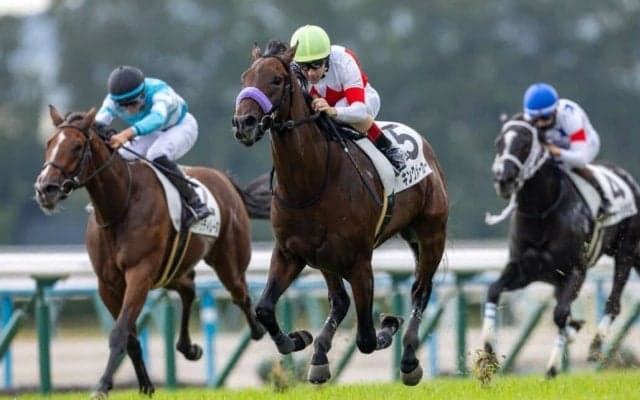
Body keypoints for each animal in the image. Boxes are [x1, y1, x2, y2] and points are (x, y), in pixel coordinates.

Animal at [34, 106, 269, 398]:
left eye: (77, 146)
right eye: (49, 143)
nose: (45, 189)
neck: (119, 204)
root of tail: (224, 180)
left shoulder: (140, 274)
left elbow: (120, 332)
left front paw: (102, 386)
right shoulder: (107, 285)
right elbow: (131, 337)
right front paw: (146, 385)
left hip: (228, 260)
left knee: (241, 294)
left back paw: (260, 330)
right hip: (172, 270)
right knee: (189, 289)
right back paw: (188, 347)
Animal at [231, 42, 448, 385]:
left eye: (277, 80)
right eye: (245, 78)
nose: (244, 124)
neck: (311, 181)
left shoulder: (360, 260)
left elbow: (367, 338)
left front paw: (389, 323)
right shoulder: (290, 252)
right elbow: (264, 308)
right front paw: (296, 340)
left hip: (430, 235)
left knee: (420, 290)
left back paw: (409, 359)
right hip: (326, 257)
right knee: (340, 300)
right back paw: (319, 355)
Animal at [477, 114, 640, 379]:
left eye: (524, 144)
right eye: (499, 142)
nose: (503, 179)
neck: (541, 210)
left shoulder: (575, 271)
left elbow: (560, 314)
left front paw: (552, 368)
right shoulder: (524, 269)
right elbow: (493, 290)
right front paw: (489, 354)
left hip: (625, 252)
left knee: (613, 303)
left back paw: (596, 345)